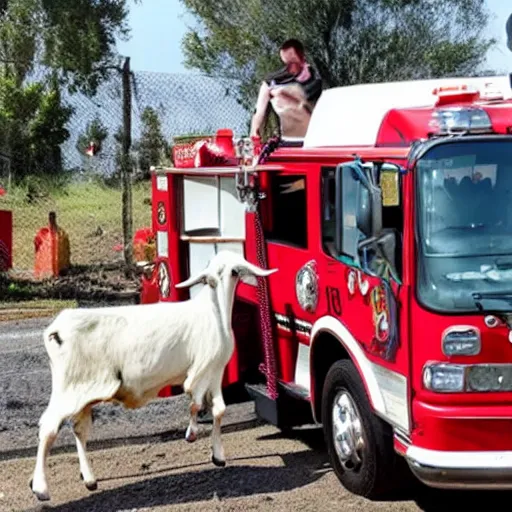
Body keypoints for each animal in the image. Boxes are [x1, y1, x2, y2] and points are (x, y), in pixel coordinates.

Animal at [30, 250, 278, 502]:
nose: (213, 280)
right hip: (70, 389)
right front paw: (191, 434)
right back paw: (41, 488)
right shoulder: (202, 369)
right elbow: (195, 402)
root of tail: (55, 330)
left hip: (83, 392)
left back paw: (89, 479)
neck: (212, 309)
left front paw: (217, 455)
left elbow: (218, 409)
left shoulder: (216, 371)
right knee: (48, 427)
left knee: (79, 429)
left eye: (234, 271)